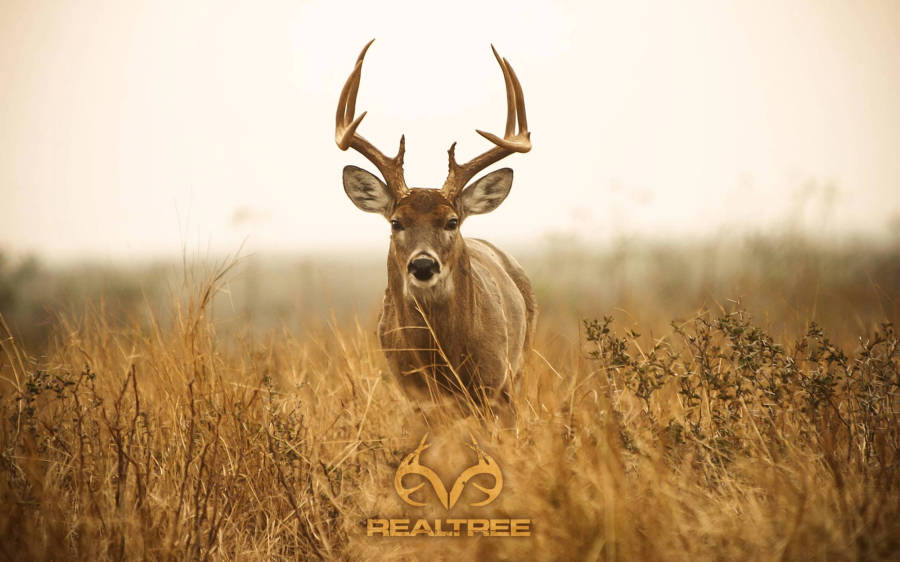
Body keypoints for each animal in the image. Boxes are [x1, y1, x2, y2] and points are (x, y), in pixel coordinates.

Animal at [335, 40, 536, 414]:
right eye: (396, 222)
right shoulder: (416, 398)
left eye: (451, 221)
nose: (423, 264)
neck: (446, 362)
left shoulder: (498, 387)